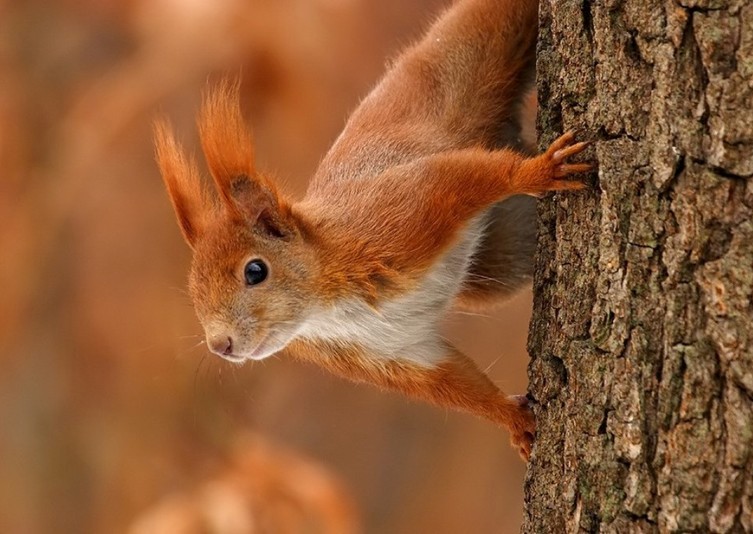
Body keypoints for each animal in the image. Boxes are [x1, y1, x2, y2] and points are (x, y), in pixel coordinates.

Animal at [156, 0, 592, 460]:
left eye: (255, 271)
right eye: (193, 292)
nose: (219, 345)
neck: (325, 308)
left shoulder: (400, 215)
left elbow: (462, 178)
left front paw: (538, 171)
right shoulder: (389, 353)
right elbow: (449, 382)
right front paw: (514, 420)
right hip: (503, 256)